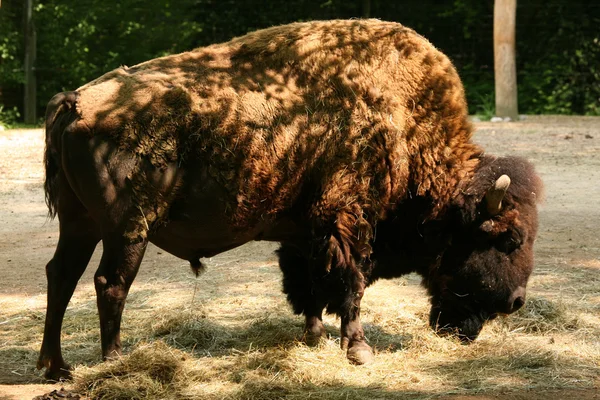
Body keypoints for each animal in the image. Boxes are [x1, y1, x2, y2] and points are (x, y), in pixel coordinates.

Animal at [37, 19, 544, 382]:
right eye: (508, 240)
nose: (516, 301)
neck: (404, 119)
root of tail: (74, 102)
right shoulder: (348, 219)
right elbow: (351, 284)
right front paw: (359, 350)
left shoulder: (307, 231)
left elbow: (310, 285)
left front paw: (313, 337)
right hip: (128, 228)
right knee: (109, 283)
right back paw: (113, 362)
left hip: (80, 222)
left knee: (62, 275)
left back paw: (56, 367)